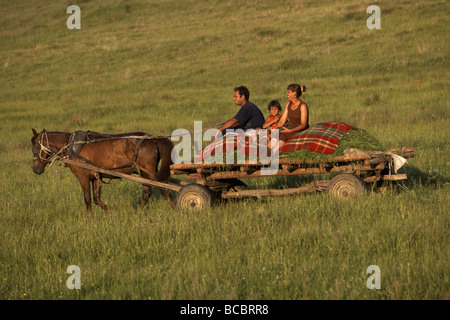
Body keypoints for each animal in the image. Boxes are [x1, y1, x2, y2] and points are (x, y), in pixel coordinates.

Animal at [30, 129, 175, 216]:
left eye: (35, 146)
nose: (36, 169)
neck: (72, 145)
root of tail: (153, 139)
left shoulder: (83, 177)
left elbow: (87, 199)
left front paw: (89, 219)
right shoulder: (95, 177)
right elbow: (96, 199)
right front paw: (112, 211)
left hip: (149, 173)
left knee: (164, 190)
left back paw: (175, 211)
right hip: (142, 173)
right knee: (147, 192)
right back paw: (138, 212)